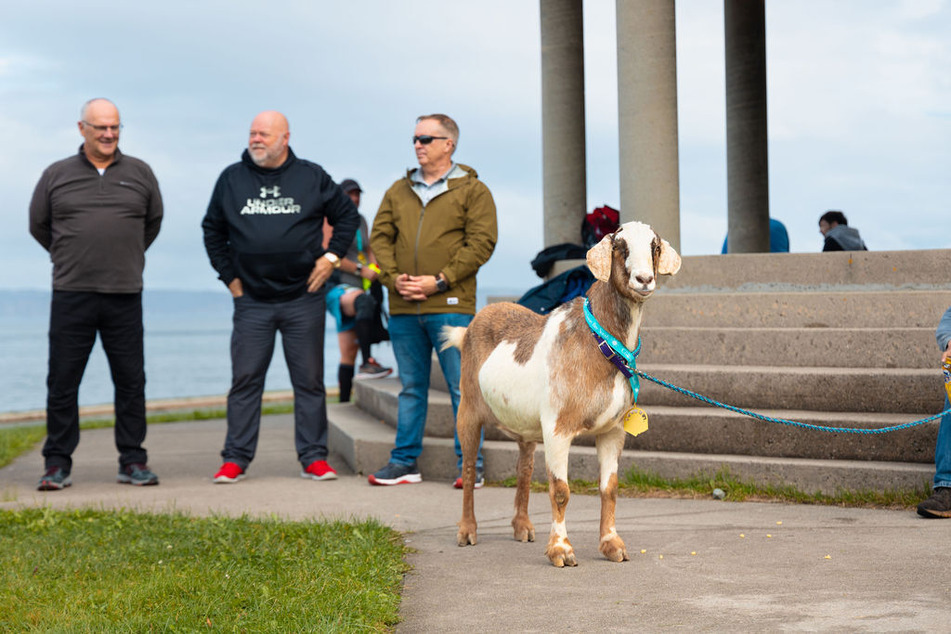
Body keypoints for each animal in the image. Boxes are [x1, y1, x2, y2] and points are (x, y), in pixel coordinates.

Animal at [442, 220, 680, 564]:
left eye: (655, 247)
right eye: (619, 247)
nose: (645, 279)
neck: (600, 342)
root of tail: (471, 327)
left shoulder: (613, 430)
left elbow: (609, 487)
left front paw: (612, 544)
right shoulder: (557, 428)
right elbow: (560, 490)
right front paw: (561, 550)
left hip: (525, 425)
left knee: (524, 468)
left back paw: (522, 526)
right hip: (469, 408)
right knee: (469, 468)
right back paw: (467, 531)